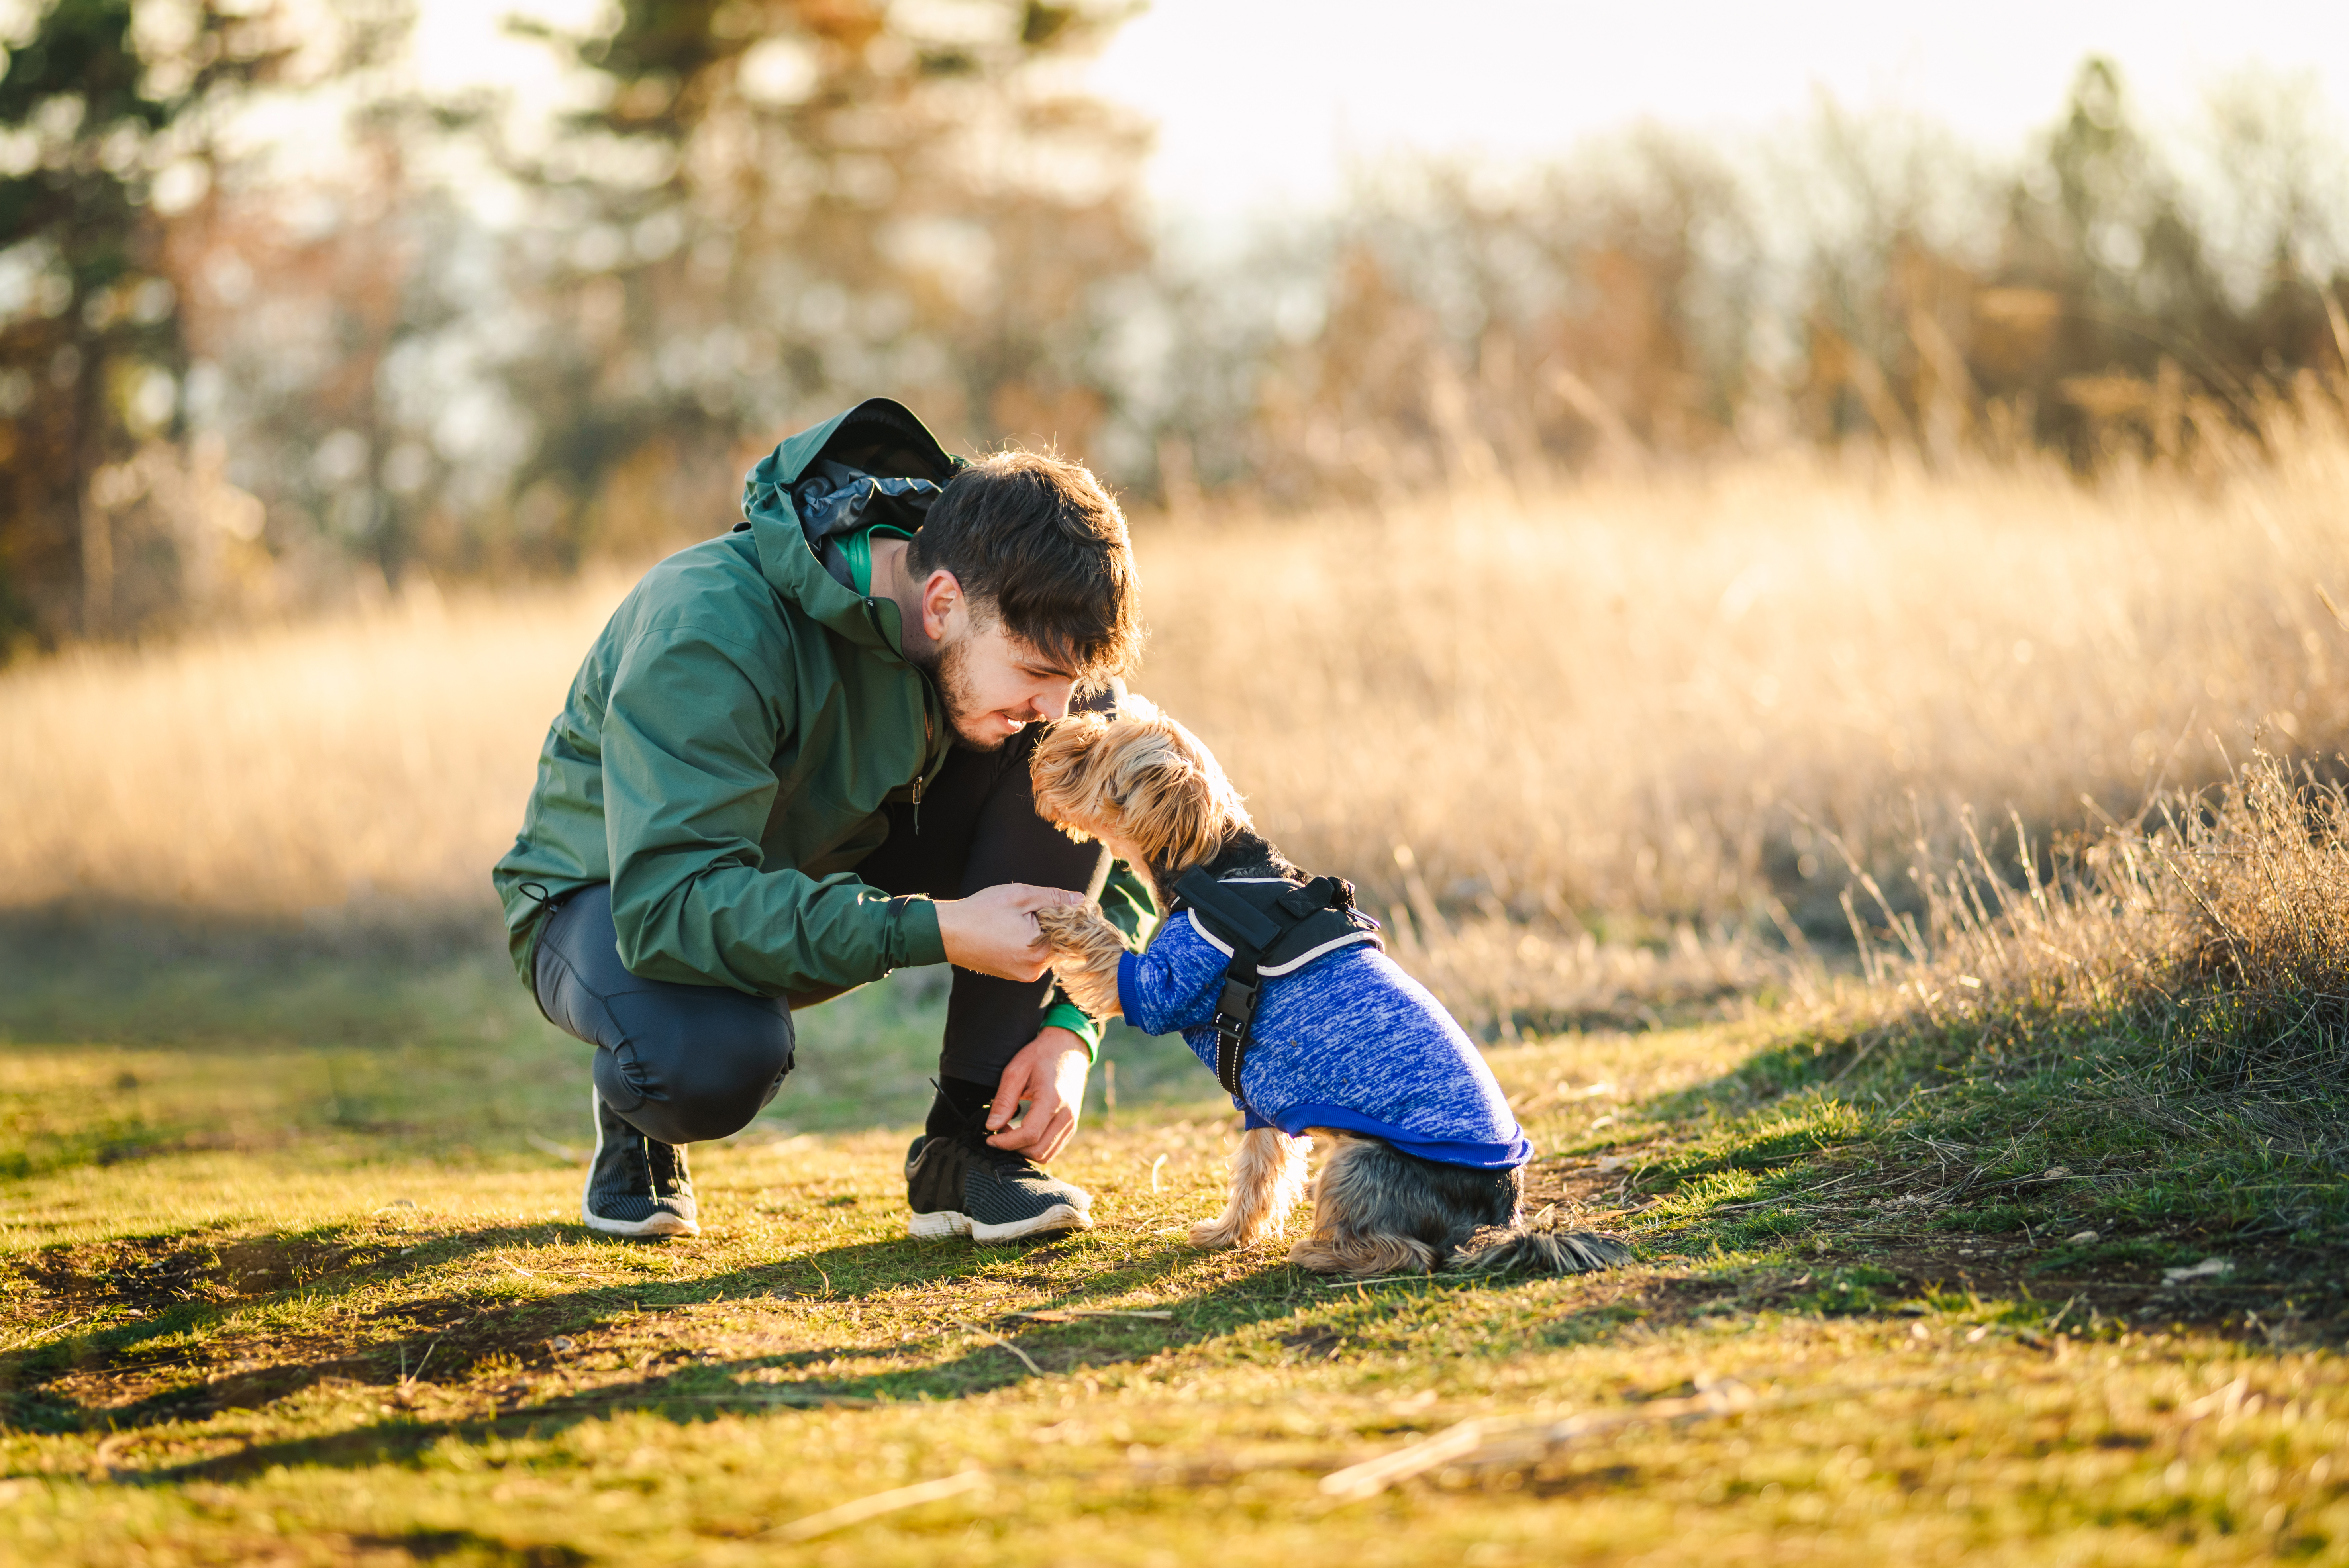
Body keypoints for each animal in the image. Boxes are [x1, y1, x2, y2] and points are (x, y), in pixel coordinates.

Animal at [1033, 704, 1635, 1277]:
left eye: (1095, 752)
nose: (1058, 730)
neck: (1218, 866)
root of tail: (1502, 1216)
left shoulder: (1163, 986)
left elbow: (1109, 955)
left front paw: (1059, 914)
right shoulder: (1258, 1095)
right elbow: (1259, 1169)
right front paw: (1229, 1233)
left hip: (1358, 1162)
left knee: (1407, 1252)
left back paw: (1322, 1254)